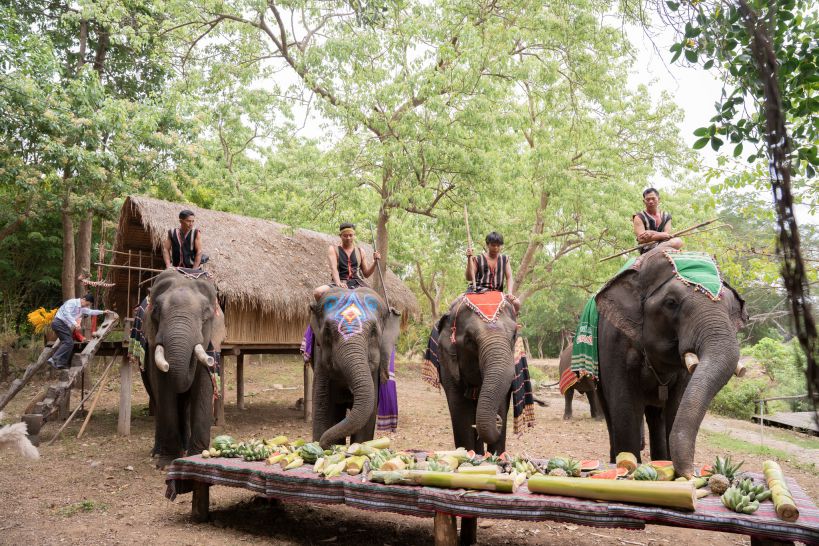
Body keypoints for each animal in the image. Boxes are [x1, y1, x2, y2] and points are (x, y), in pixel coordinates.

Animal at [143, 269, 226, 468]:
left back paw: (185, 447)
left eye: (205, 314)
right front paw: (166, 463)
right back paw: (158, 452)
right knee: (156, 399)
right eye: (156, 310)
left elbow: (203, 387)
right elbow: (164, 390)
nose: (211, 361)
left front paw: (196, 456)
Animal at [310, 287, 400, 449]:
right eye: (327, 332)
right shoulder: (320, 359)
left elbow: (368, 418)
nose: (325, 444)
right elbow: (322, 408)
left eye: (373, 332)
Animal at [435, 292, 518, 455]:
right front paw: (467, 455)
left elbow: (501, 402)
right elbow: (460, 411)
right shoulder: (448, 366)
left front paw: (496, 457)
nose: (498, 421)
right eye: (469, 340)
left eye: (514, 335)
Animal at [594, 246, 747, 478]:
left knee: (656, 416)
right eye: (671, 303)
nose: (691, 473)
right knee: (610, 412)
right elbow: (624, 410)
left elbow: (676, 407)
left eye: (731, 310)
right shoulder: (614, 342)